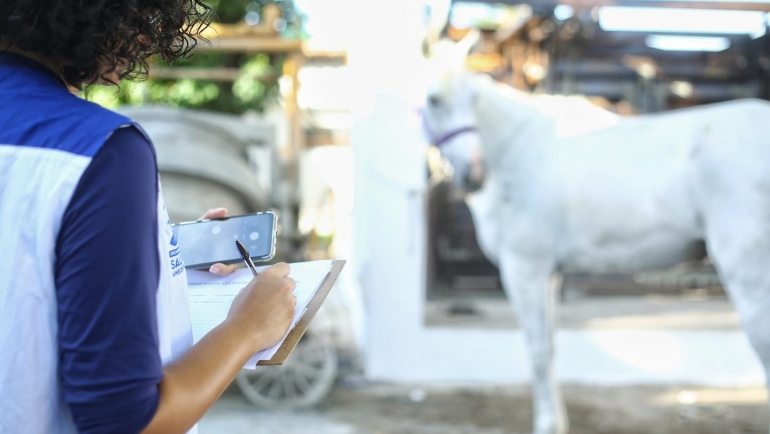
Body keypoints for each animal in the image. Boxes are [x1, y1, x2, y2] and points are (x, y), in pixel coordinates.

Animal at [420, 39, 770, 432]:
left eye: (473, 97)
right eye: (434, 99)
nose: (472, 175)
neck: (517, 151)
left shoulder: (524, 268)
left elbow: (537, 349)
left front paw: (546, 424)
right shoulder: (548, 273)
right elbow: (551, 346)